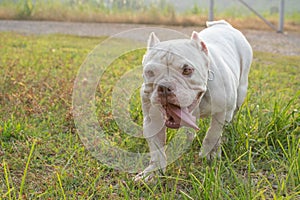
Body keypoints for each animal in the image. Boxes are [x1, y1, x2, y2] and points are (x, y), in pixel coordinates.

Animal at [135, 20, 252, 181]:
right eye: (149, 72)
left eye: (187, 70)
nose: (164, 87)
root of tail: (224, 25)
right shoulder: (153, 120)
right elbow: (156, 148)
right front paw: (153, 172)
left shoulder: (222, 110)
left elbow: (213, 133)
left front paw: (209, 154)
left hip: (241, 90)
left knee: (232, 114)